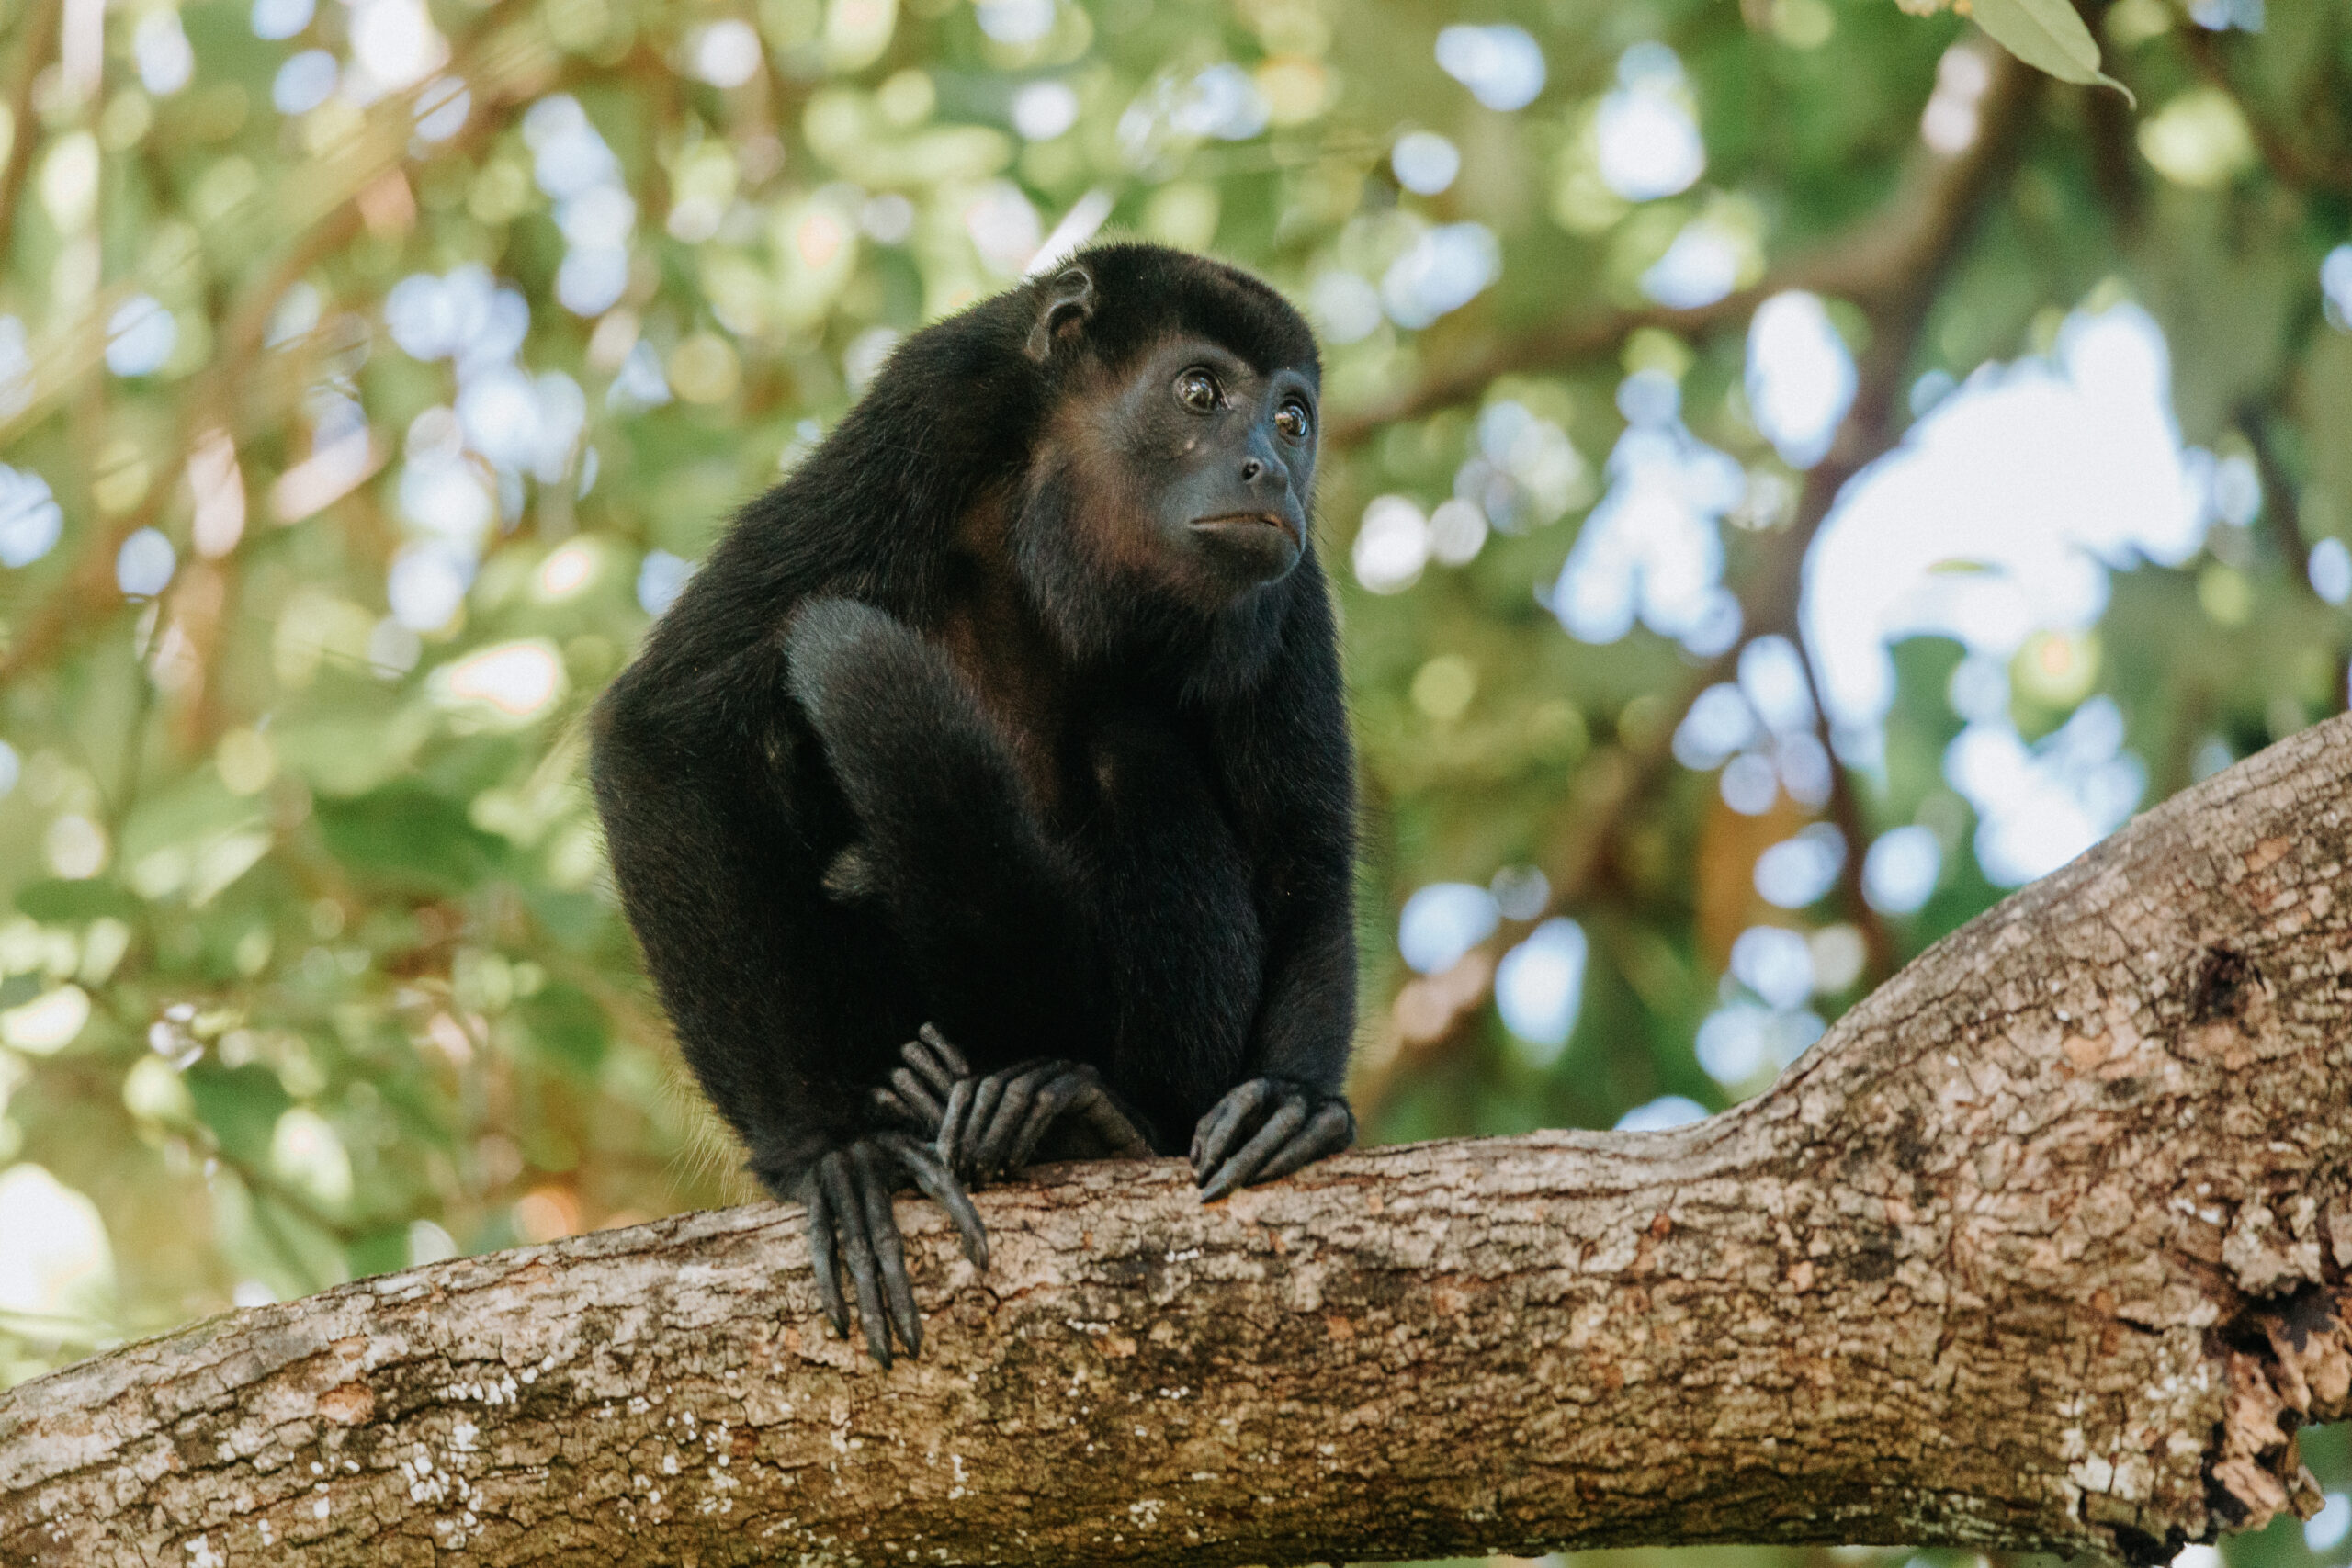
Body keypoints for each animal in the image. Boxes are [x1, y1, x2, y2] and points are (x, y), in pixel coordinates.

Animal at [588, 243, 1357, 1365]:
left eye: (1293, 418)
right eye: (1200, 393)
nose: (1269, 468)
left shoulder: (1288, 583)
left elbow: (1301, 856)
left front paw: (1297, 1103)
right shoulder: (934, 407)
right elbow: (665, 726)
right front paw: (829, 1151)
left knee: (1132, 751)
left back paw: (1092, 1116)